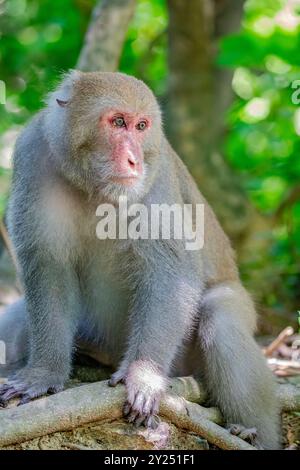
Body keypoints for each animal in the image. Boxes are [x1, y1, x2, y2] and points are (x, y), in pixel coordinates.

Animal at [0, 70, 282, 448]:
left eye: (142, 126)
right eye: (118, 122)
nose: (134, 160)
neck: (94, 187)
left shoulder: (156, 172)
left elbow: (171, 273)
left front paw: (143, 375)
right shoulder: (34, 155)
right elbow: (48, 267)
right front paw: (42, 373)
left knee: (221, 318)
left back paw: (252, 433)